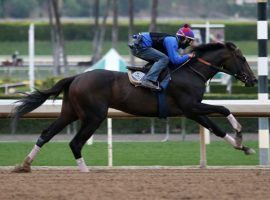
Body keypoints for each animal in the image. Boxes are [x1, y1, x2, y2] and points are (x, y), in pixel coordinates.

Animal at [12, 41, 258, 172]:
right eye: (243, 58)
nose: (254, 80)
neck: (191, 71)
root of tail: (77, 77)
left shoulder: (191, 111)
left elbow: (215, 129)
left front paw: (243, 146)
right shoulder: (192, 106)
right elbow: (224, 109)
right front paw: (239, 131)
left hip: (69, 112)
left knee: (46, 134)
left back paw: (24, 164)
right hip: (94, 116)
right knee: (75, 142)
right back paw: (84, 169)